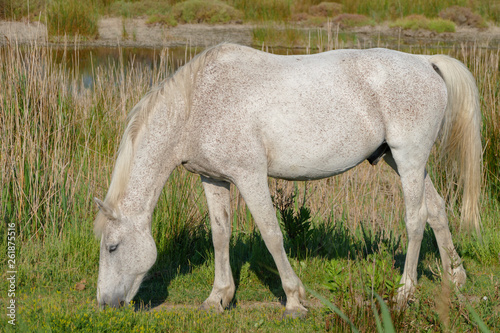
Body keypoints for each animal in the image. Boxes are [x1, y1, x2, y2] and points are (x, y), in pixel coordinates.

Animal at [93, 44, 480, 316]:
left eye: (112, 247)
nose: (105, 303)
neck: (198, 103)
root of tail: (425, 61)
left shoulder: (249, 176)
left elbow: (271, 234)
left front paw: (294, 299)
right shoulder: (213, 179)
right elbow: (221, 235)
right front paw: (218, 297)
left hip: (409, 157)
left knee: (415, 219)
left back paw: (405, 291)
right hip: (399, 160)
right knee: (436, 210)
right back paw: (455, 276)